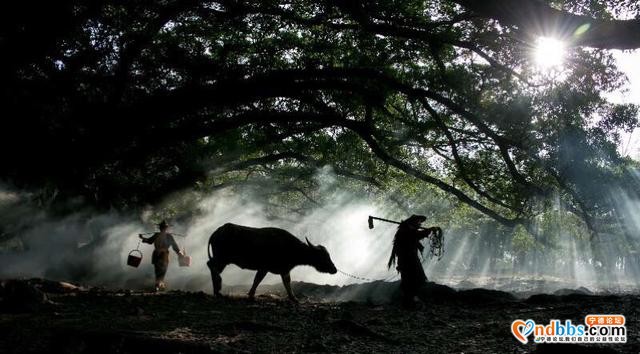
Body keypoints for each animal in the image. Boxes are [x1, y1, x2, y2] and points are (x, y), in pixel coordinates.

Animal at [206, 223, 338, 300]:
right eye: (323, 256)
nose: (334, 269)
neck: (291, 248)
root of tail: (216, 232)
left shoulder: (284, 269)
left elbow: (286, 282)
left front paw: (293, 298)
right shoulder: (265, 268)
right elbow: (258, 280)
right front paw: (251, 294)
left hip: (223, 260)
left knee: (212, 266)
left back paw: (217, 291)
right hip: (222, 258)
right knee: (211, 265)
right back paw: (218, 288)